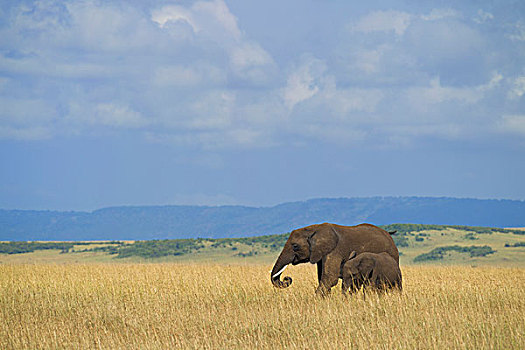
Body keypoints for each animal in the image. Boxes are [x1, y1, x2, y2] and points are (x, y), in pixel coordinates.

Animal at [270, 223, 398, 294]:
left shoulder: (335, 250)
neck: (314, 229)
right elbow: (322, 278)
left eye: (295, 246)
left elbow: (329, 279)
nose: (287, 278)